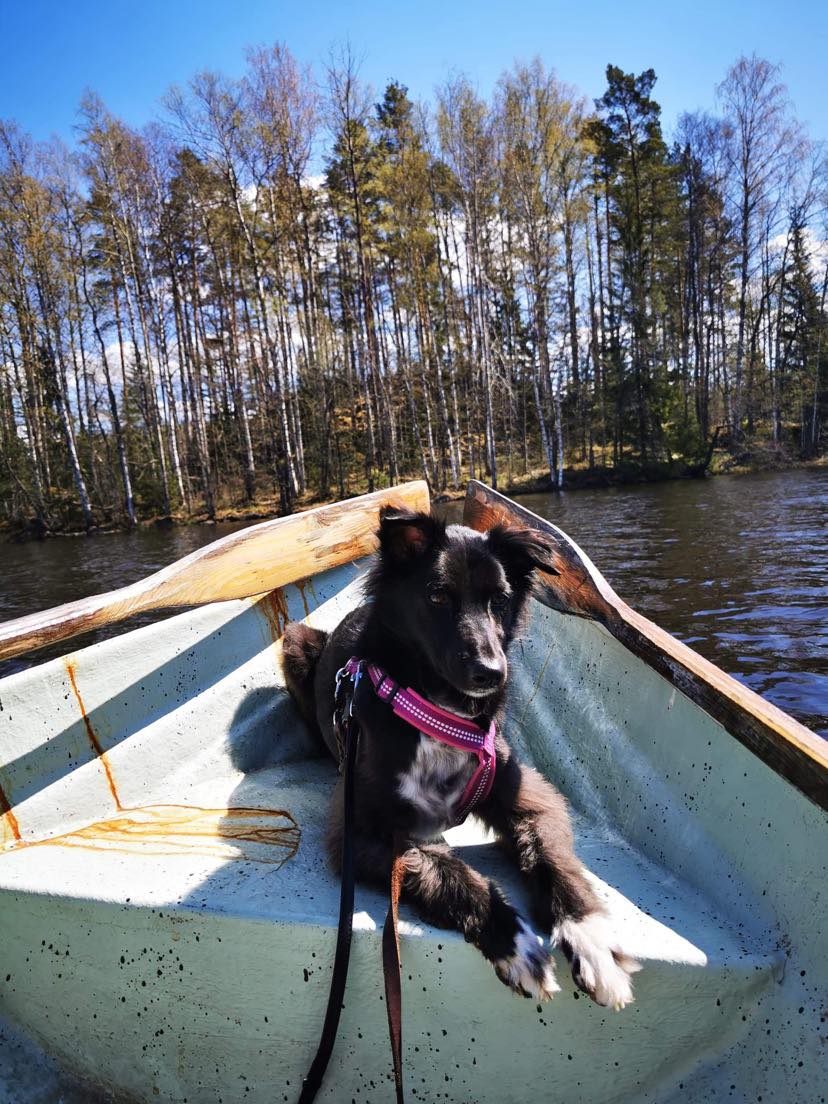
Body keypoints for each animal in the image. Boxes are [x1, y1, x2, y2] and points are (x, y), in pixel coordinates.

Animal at [282, 507, 640, 1011]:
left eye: (501, 600)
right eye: (437, 595)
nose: (491, 673)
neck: (438, 711)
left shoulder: (529, 797)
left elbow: (553, 859)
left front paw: (591, 940)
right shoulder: (359, 833)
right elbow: (440, 868)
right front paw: (513, 939)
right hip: (294, 642)